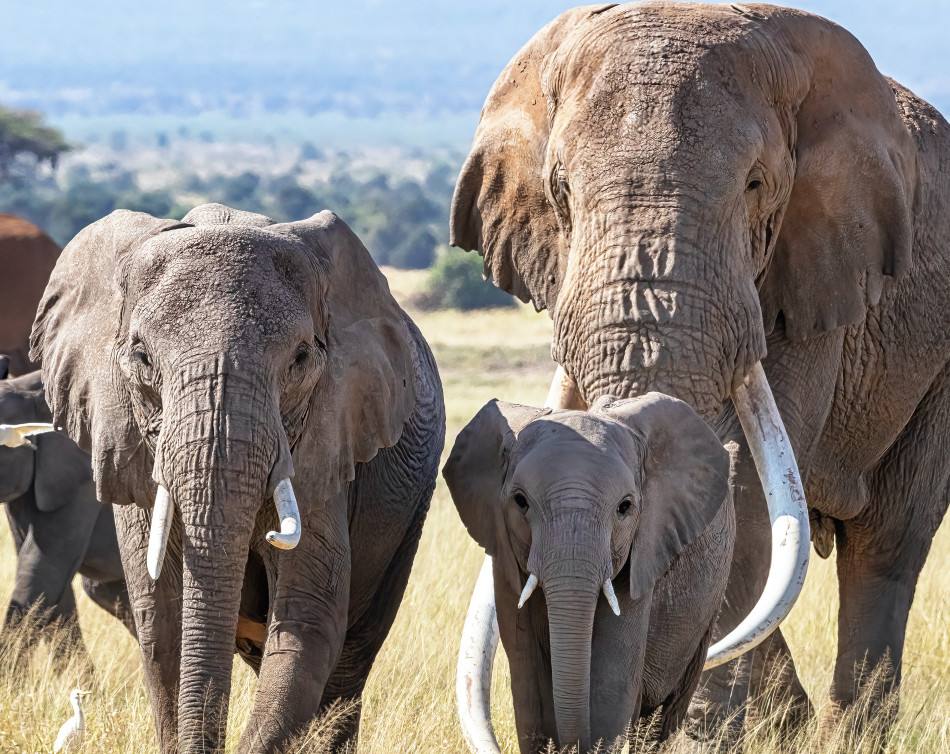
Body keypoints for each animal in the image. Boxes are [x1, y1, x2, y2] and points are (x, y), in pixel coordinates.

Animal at [29, 203, 445, 753]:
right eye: (142, 357)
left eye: (300, 360)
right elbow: (161, 621)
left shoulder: (329, 435)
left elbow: (308, 616)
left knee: (351, 659)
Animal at [444, 394, 736, 752]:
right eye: (520, 502)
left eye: (625, 507)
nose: (571, 744)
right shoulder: (504, 556)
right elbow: (527, 679)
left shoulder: (644, 551)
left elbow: (610, 682)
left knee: (664, 716)